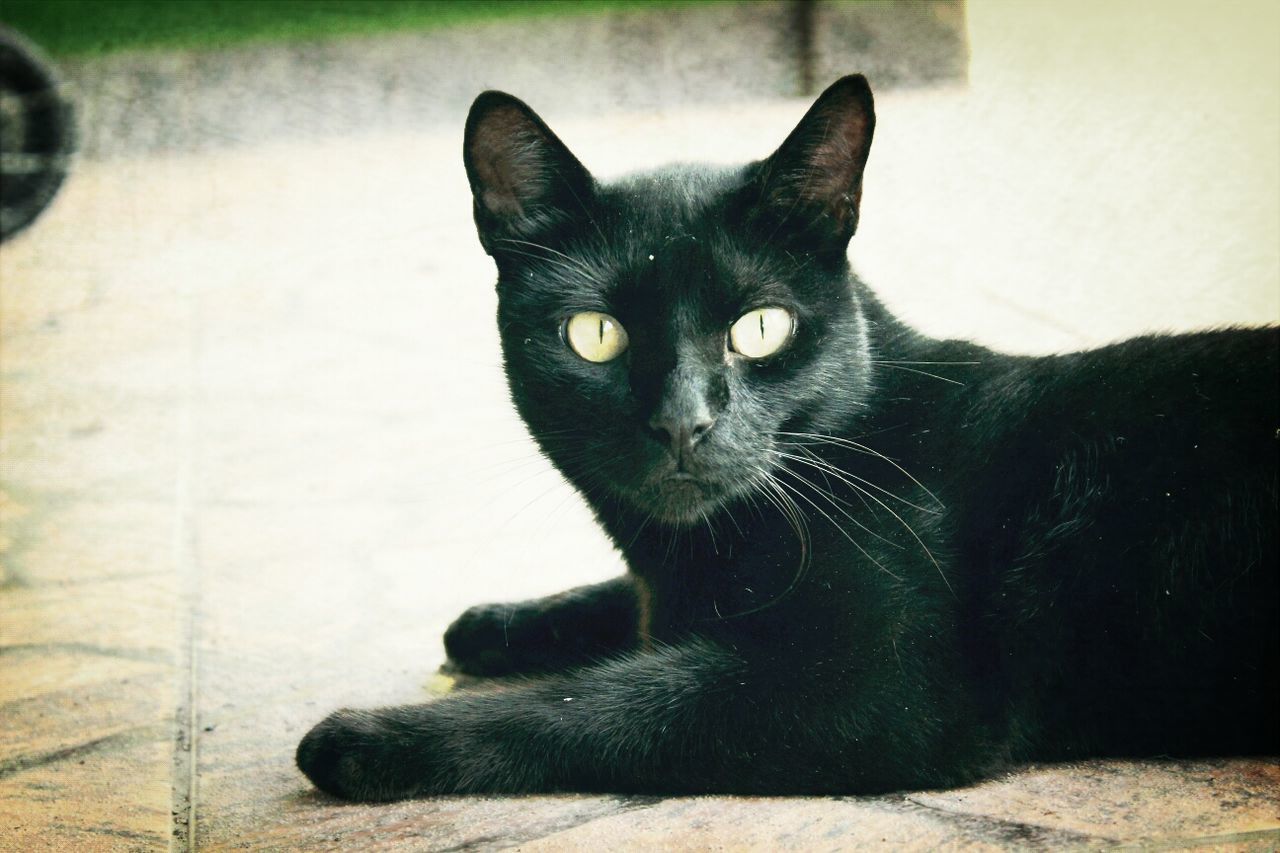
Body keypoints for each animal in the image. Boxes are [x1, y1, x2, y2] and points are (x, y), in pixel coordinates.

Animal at [296, 76, 1280, 799]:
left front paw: (368, 738)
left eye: (760, 328)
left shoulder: (879, 687)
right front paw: (495, 622)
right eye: (595, 335)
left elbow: (614, 697)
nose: (683, 419)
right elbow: (629, 611)